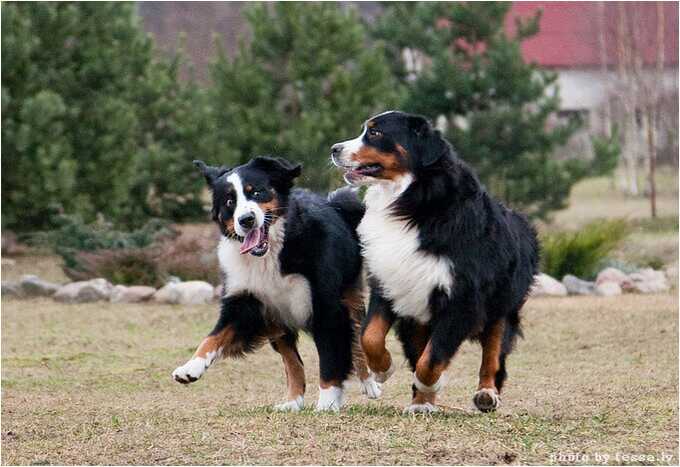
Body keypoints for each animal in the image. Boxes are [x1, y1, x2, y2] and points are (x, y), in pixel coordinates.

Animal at [171, 155, 382, 412]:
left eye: (256, 192)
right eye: (230, 201)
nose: (246, 220)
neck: (271, 254)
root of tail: (334, 203)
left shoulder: (326, 305)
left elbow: (330, 358)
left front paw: (327, 403)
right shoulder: (248, 302)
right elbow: (213, 337)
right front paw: (190, 368)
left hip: (350, 295)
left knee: (357, 338)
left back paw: (369, 383)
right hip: (277, 319)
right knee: (293, 361)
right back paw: (292, 401)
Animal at [332, 112, 540, 414]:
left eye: (375, 133)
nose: (334, 149)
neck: (410, 202)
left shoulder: (462, 297)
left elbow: (431, 359)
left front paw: (431, 383)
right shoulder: (390, 281)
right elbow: (370, 335)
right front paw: (383, 369)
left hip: (501, 305)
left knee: (493, 353)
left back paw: (486, 394)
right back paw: (421, 404)